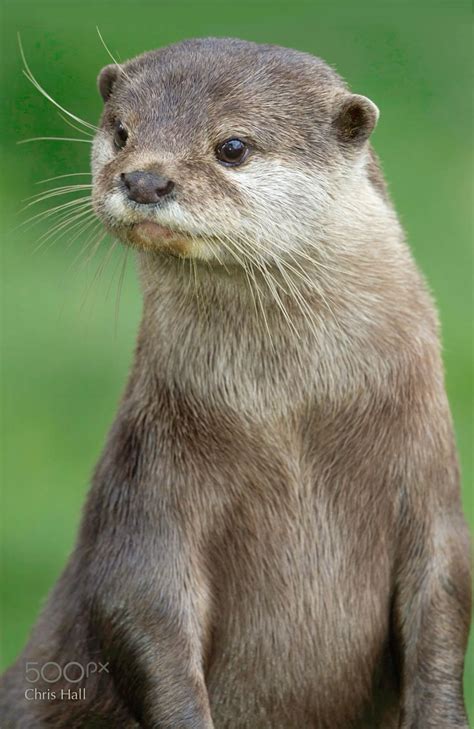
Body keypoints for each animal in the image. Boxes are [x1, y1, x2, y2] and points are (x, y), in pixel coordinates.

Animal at [1, 37, 471, 729]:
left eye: (233, 146)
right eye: (121, 131)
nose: (144, 179)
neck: (290, 420)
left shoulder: (429, 485)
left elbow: (444, 606)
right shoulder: (149, 489)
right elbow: (140, 610)